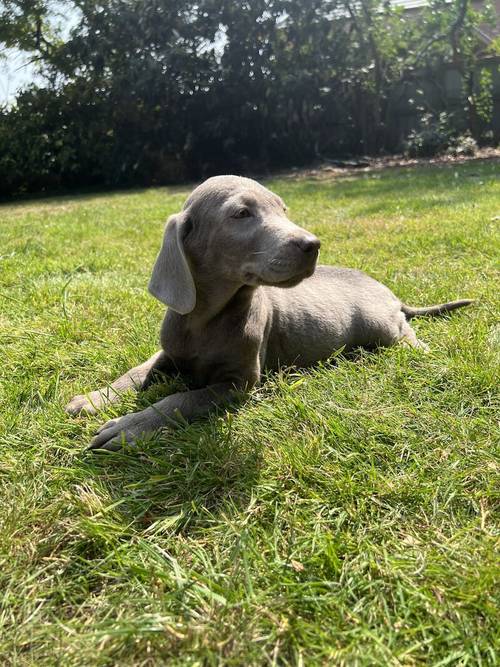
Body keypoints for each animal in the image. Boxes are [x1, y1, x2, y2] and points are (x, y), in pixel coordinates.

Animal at [66, 175, 472, 452]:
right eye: (241, 214)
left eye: (283, 210)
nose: (313, 244)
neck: (206, 320)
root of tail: (390, 294)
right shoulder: (170, 352)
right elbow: (137, 371)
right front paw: (95, 398)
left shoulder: (238, 383)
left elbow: (181, 399)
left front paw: (130, 426)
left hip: (380, 325)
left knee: (403, 330)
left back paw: (418, 348)